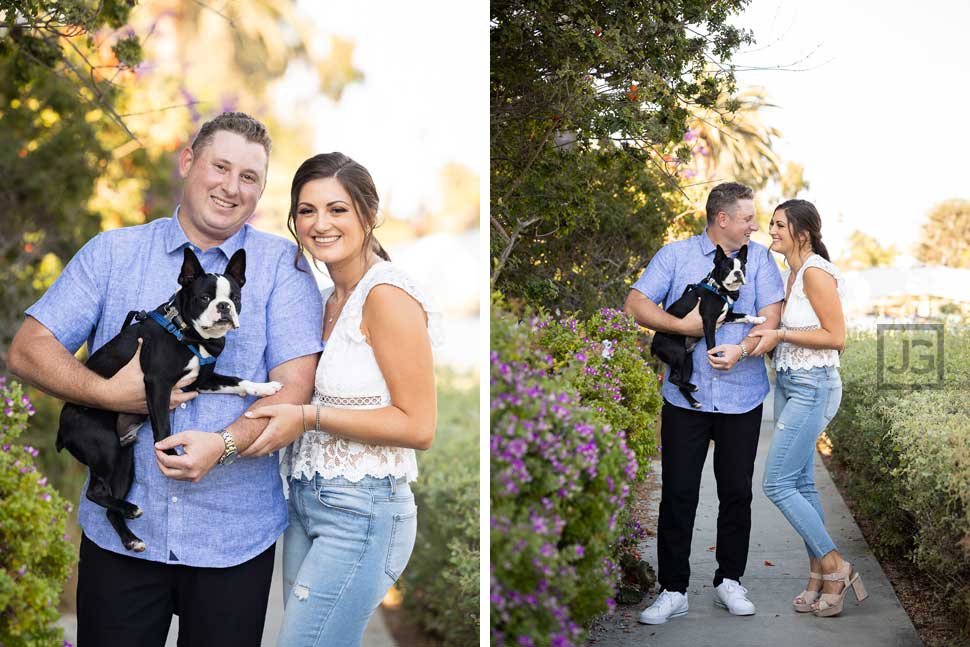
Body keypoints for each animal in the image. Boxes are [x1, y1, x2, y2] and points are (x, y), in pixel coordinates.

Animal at [56, 248, 282, 552]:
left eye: (235, 298)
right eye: (204, 298)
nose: (224, 306)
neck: (187, 332)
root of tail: (62, 429)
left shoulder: (202, 381)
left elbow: (237, 381)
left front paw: (264, 387)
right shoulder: (158, 383)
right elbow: (163, 429)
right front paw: (172, 457)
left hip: (124, 462)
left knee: (107, 506)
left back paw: (131, 536)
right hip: (104, 445)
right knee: (95, 492)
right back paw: (130, 509)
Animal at [652, 246, 764, 408]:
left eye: (742, 267)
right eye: (727, 269)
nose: (738, 273)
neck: (720, 290)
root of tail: (653, 345)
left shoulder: (726, 317)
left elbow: (744, 315)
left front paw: (758, 319)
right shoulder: (709, 320)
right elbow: (712, 343)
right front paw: (716, 358)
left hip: (687, 362)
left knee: (679, 382)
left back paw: (693, 401)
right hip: (678, 353)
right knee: (672, 378)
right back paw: (692, 387)